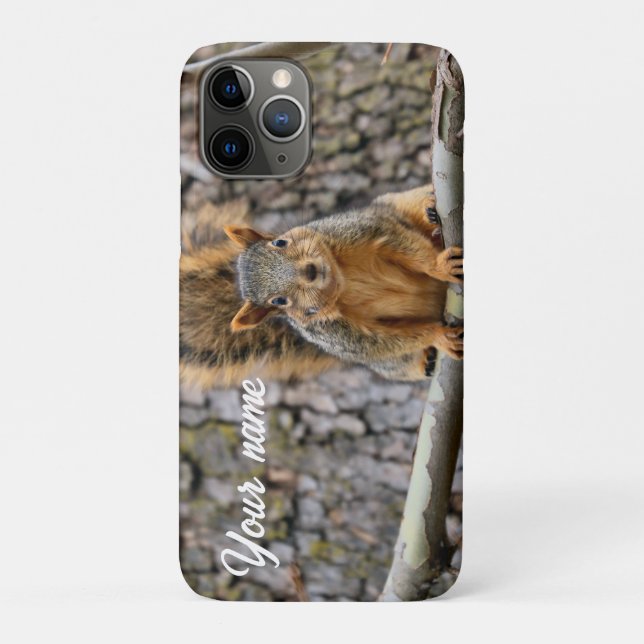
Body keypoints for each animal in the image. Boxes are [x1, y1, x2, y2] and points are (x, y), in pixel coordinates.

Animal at [180, 185, 463, 388]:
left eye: (280, 242)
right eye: (278, 301)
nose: (310, 270)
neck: (344, 280)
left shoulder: (360, 229)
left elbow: (400, 240)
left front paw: (438, 265)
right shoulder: (331, 330)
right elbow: (379, 342)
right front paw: (438, 336)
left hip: (397, 202)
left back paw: (430, 213)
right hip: (394, 365)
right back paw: (427, 361)